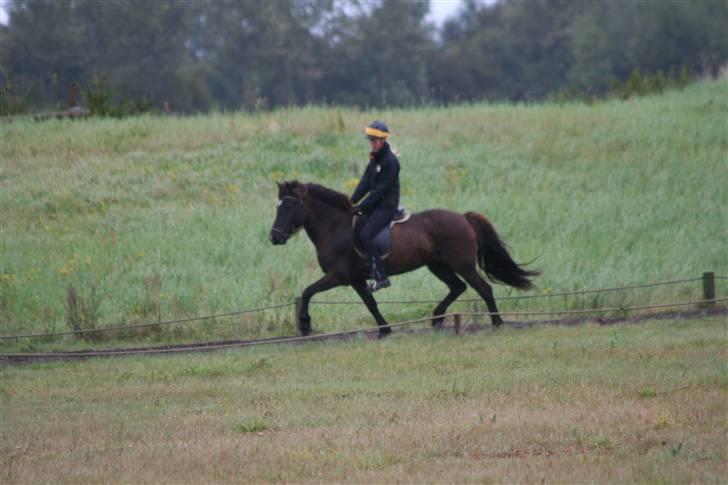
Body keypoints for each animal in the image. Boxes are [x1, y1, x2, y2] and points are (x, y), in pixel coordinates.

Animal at [270, 181, 536, 336]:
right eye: (278, 205)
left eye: (290, 206)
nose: (274, 237)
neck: (335, 227)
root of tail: (462, 217)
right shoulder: (356, 279)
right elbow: (370, 303)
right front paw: (385, 330)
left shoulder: (339, 276)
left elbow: (307, 291)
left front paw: (305, 324)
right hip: (437, 265)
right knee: (458, 287)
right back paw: (437, 318)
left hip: (462, 264)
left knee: (483, 288)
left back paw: (497, 323)